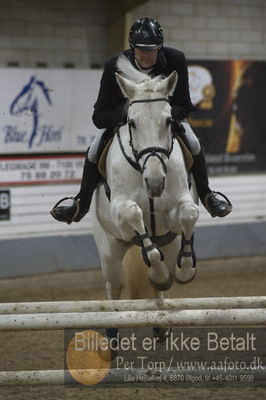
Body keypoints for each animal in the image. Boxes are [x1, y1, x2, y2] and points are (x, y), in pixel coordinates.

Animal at [90, 56, 198, 304]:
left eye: (168, 121)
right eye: (132, 123)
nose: (156, 183)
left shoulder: (177, 210)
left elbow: (189, 214)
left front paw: (185, 269)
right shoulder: (120, 211)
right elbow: (133, 213)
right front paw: (158, 273)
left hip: (170, 243)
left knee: (159, 286)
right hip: (110, 254)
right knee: (114, 287)